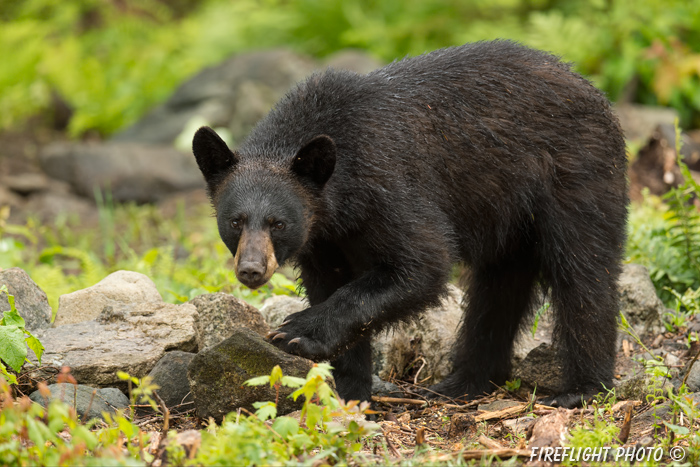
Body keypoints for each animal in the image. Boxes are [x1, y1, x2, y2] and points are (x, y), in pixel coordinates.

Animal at [193, 40, 628, 408]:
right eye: (235, 221)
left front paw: (297, 330)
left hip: (574, 174)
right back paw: (465, 382)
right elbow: (330, 283)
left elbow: (421, 263)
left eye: (278, 223)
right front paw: (351, 390)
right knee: (498, 290)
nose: (251, 269)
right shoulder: (324, 238)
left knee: (583, 275)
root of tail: (592, 90)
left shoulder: (388, 186)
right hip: (508, 219)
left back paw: (582, 388)